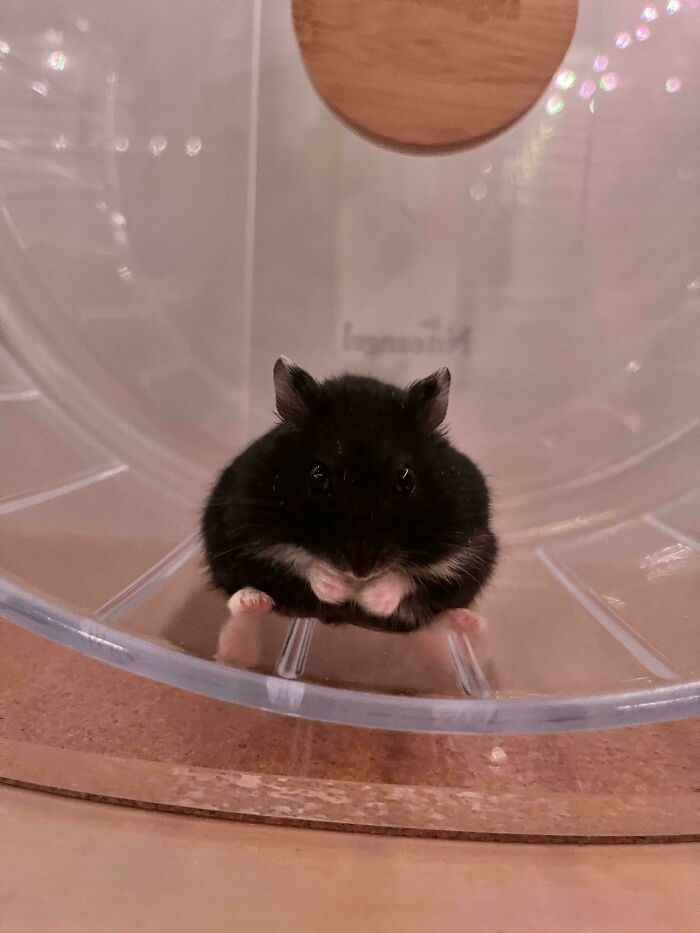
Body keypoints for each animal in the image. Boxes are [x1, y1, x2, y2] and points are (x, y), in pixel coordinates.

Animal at [202, 357, 498, 633]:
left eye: (407, 480)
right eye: (318, 475)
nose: (361, 571)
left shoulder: (471, 545)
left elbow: (409, 577)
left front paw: (371, 599)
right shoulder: (240, 526)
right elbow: (300, 561)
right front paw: (338, 589)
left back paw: (469, 621)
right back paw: (252, 601)